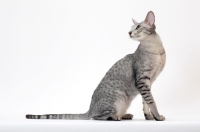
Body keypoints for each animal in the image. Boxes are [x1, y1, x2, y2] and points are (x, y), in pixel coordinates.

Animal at [26, 11, 166, 120]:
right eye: (131, 28)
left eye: (137, 27)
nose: (129, 32)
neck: (157, 51)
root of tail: (90, 109)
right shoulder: (142, 80)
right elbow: (151, 101)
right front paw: (157, 117)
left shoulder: (149, 82)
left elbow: (146, 103)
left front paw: (149, 117)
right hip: (118, 98)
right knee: (96, 116)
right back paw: (115, 117)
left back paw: (124, 115)